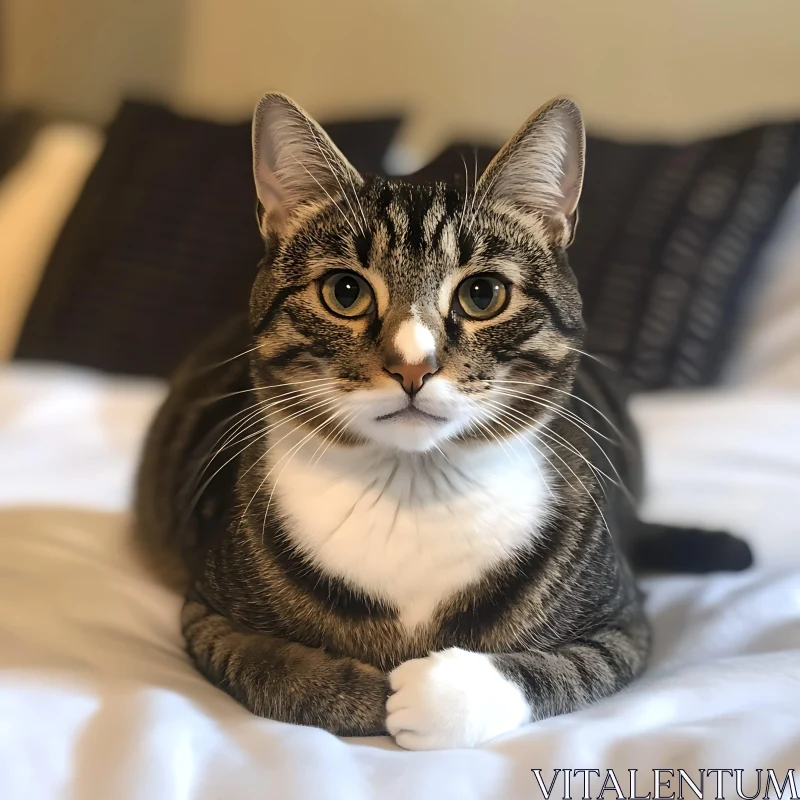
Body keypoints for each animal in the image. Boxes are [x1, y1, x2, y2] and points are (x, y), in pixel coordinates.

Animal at [138, 92, 744, 752]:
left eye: (483, 294)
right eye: (345, 292)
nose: (413, 365)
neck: (413, 488)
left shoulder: (625, 623)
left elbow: (565, 668)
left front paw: (436, 694)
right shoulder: (205, 612)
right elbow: (272, 666)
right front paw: (365, 690)